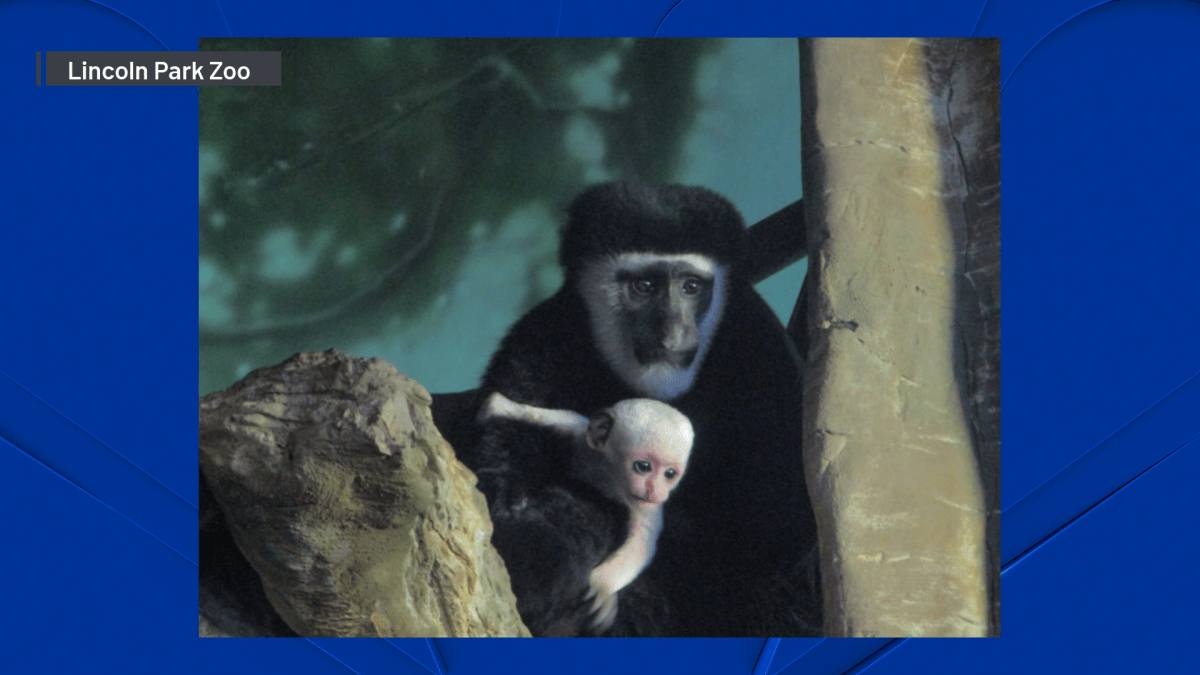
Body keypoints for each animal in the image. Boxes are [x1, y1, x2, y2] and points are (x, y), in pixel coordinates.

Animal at [478, 392, 694, 631]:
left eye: (670, 473)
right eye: (644, 467)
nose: (655, 491)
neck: (608, 475)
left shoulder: (645, 509)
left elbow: (641, 543)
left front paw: (602, 585)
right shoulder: (581, 437)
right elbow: (561, 418)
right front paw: (502, 406)